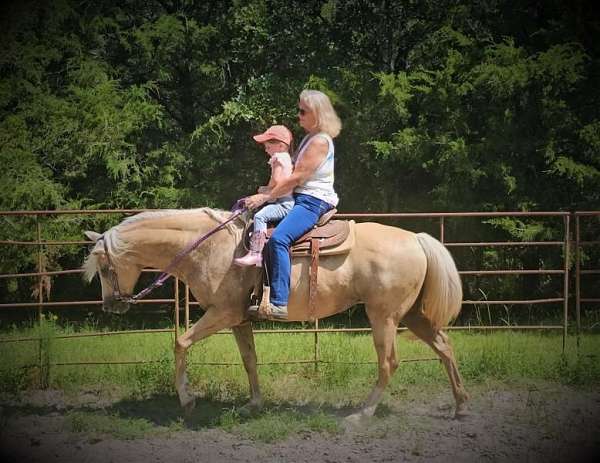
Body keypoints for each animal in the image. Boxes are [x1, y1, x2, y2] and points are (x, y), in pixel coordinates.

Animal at [83, 209, 468, 420]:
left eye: (103, 267)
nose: (111, 305)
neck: (210, 249)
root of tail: (416, 239)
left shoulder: (222, 313)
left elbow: (181, 343)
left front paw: (187, 400)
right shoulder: (239, 320)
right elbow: (250, 360)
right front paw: (253, 404)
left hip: (384, 317)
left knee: (389, 362)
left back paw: (361, 415)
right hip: (412, 315)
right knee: (445, 347)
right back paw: (461, 406)